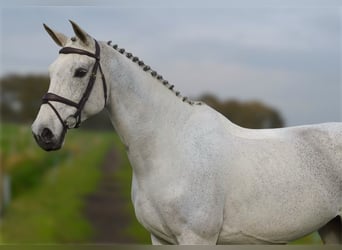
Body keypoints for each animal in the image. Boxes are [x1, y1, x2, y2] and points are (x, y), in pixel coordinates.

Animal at [30, 21, 340, 244]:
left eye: (80, 72)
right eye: (52, 71)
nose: (42, 132)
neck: (169, 148)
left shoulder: (197, 238)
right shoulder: (160, 239)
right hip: (332, 228)